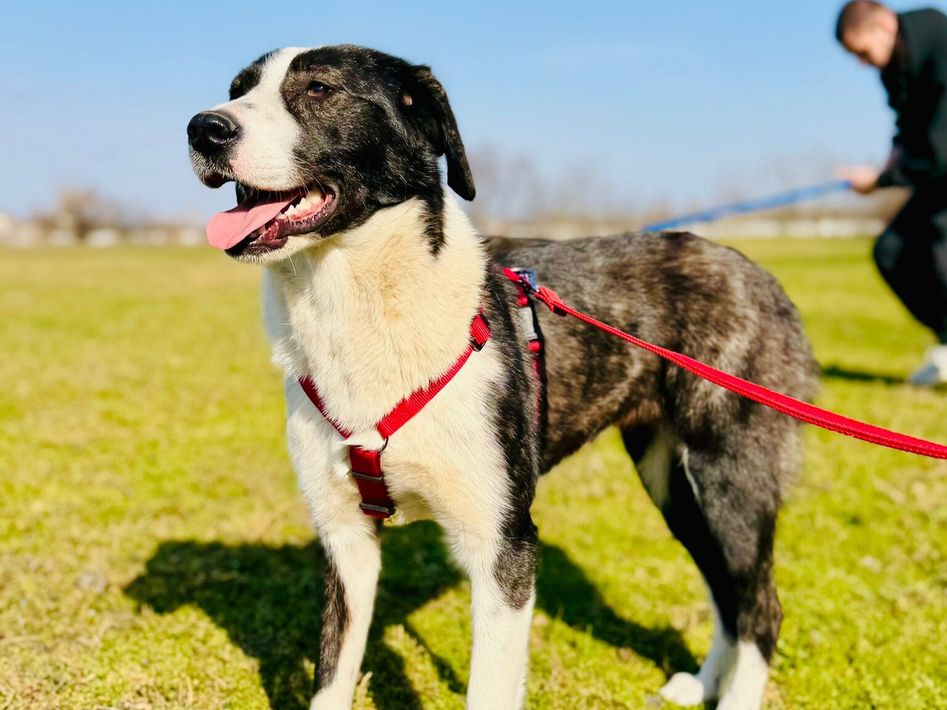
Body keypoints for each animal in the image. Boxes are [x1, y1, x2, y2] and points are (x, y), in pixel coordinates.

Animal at [187, 45, 818, 710]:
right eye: (237, 89)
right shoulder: (344, 538)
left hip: (730, 476)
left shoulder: (504, 547)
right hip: (671, 482)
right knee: (727, 592)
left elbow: (488, 687)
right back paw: (699, 684)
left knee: (760, 606)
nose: (203, 128)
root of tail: (759, 273)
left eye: (318, 89)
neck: (357, 307)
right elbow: (331, 680)